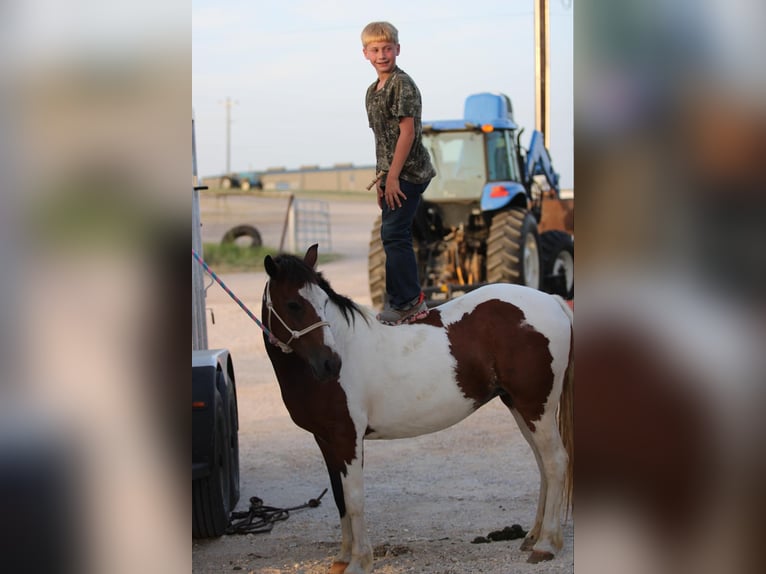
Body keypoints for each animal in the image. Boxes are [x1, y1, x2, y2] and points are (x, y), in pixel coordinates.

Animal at [261, 244, 573, 574]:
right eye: (293, 304)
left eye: (322, 302)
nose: (330, 364)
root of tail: (552, 301)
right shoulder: (326, 441)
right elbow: (339, 498)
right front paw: (343, 557)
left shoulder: (347, 439)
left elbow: (354, 499)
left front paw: (360, 561)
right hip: (520, 407)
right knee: (543, 465)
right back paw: (534, 535)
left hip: (536, 408)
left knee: (555, 462)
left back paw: (546, 544)